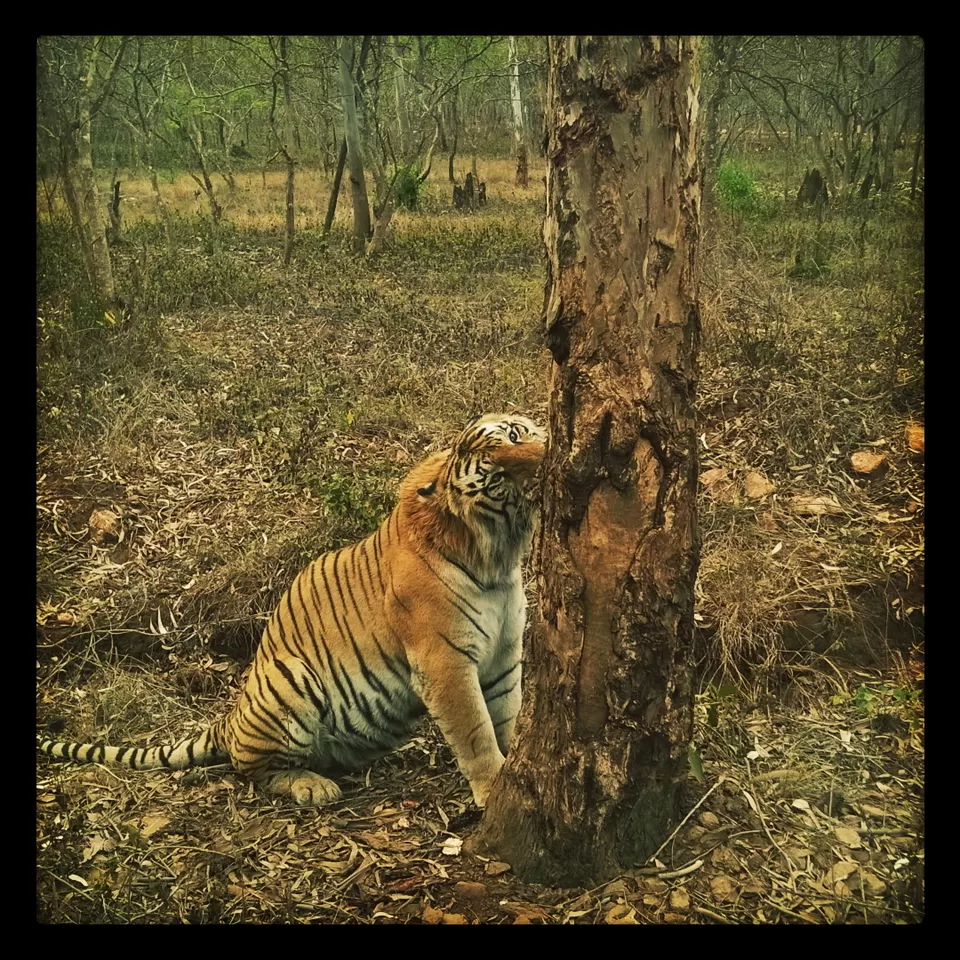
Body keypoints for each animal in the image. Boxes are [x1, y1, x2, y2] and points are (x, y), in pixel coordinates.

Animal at [39, 412, 548, 808]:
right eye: (497, 477)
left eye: (516, 435)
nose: (546, 459)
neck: (497, 557)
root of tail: (232, 717)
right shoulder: (443, 662)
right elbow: (475, 730)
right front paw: (493, 787)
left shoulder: (504, 653)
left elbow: (506, 716)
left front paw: (518, 768)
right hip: (291, 679)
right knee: (251, 767)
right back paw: (312, 787)